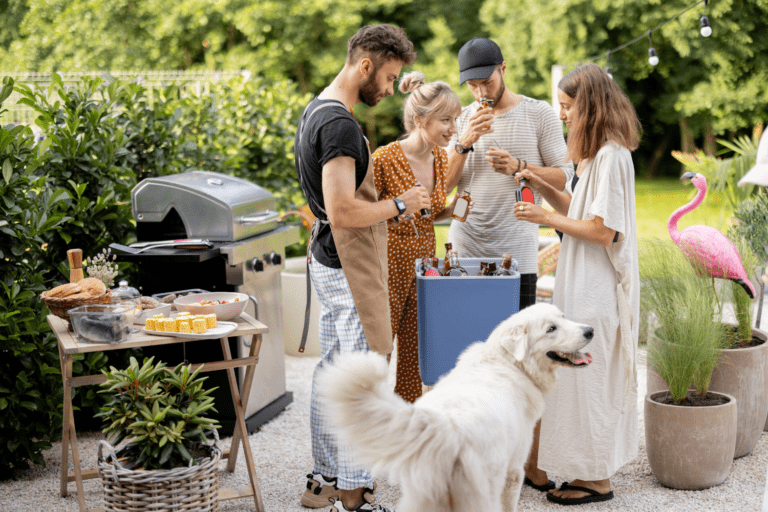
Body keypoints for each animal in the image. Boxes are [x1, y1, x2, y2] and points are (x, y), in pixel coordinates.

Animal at [318, 304, 592, 512]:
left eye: (563, 318)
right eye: (551, 329)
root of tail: (445, 426)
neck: (510, 363)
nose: (590, 330)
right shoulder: (513, 472)